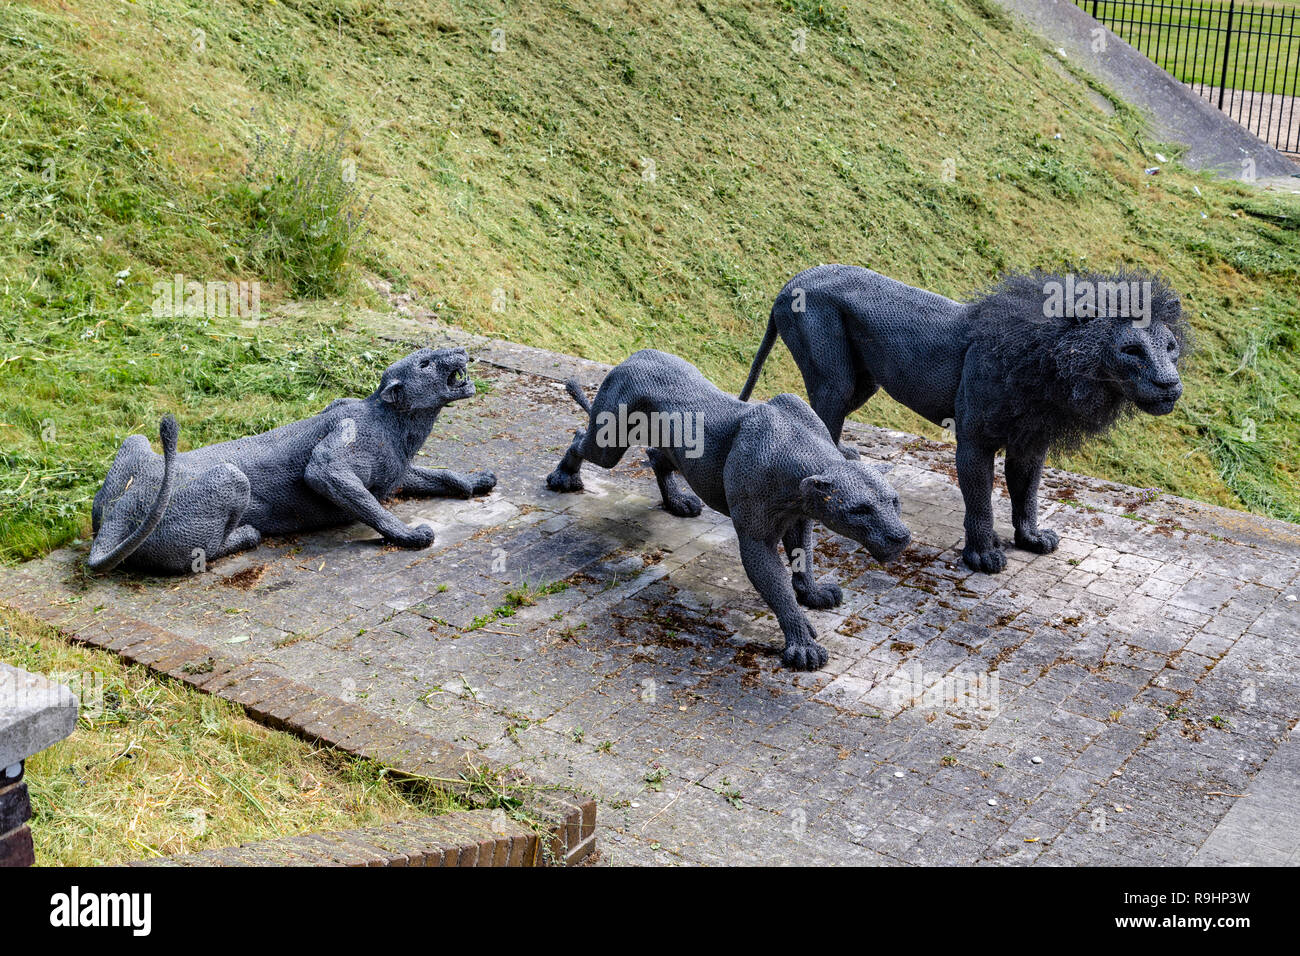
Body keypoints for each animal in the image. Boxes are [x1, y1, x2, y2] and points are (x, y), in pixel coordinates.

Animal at [739, 265, 1188, 573]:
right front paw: (984, 555)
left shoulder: (1032, 441)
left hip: (865, 381)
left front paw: (1031, 538)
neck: (1049, 359)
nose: (1169, 384)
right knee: (823, 417)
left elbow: (1026, 492)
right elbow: (980, 499)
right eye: (1131, 349)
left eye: (1170, 346)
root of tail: (793, 279)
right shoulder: (974, 440)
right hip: (834, 376)